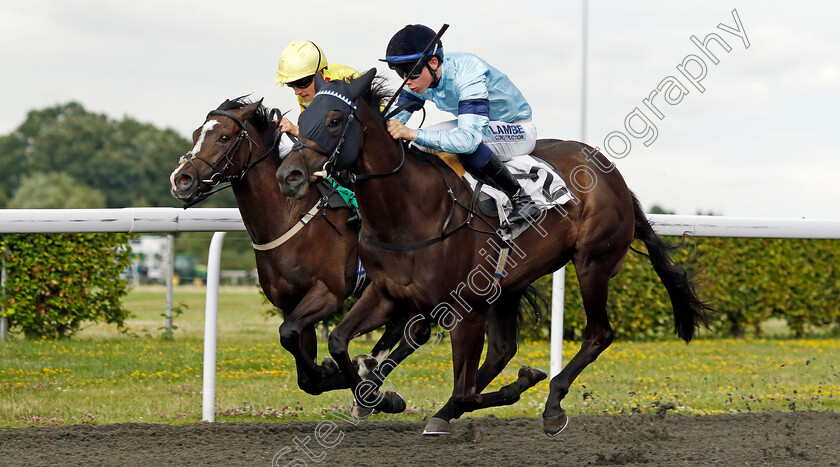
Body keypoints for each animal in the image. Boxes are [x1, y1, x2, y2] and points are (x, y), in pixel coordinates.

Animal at [169, 98, 426, 398]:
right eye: (196, 134)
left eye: (224, 137)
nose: (181, 180)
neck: (289, 217)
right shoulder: (290, 302)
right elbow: (298, 358)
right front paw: (329, 372)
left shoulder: (328, 293)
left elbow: (289, 334)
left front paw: (334, 371)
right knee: (399, 328)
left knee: (417, 332)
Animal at [276, 71, 708, 436]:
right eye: (304, 114)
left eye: (334, 119)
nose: (288, 176)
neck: (410, 210)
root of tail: (611, 171)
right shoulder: (386, 293)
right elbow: (338, 340)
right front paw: (374, 397)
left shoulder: (463, 308)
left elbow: (464, 388)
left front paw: (520, 384)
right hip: (510, 282)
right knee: (501, 351)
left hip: (592, 264)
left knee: (598, 334)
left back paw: (551, 404)